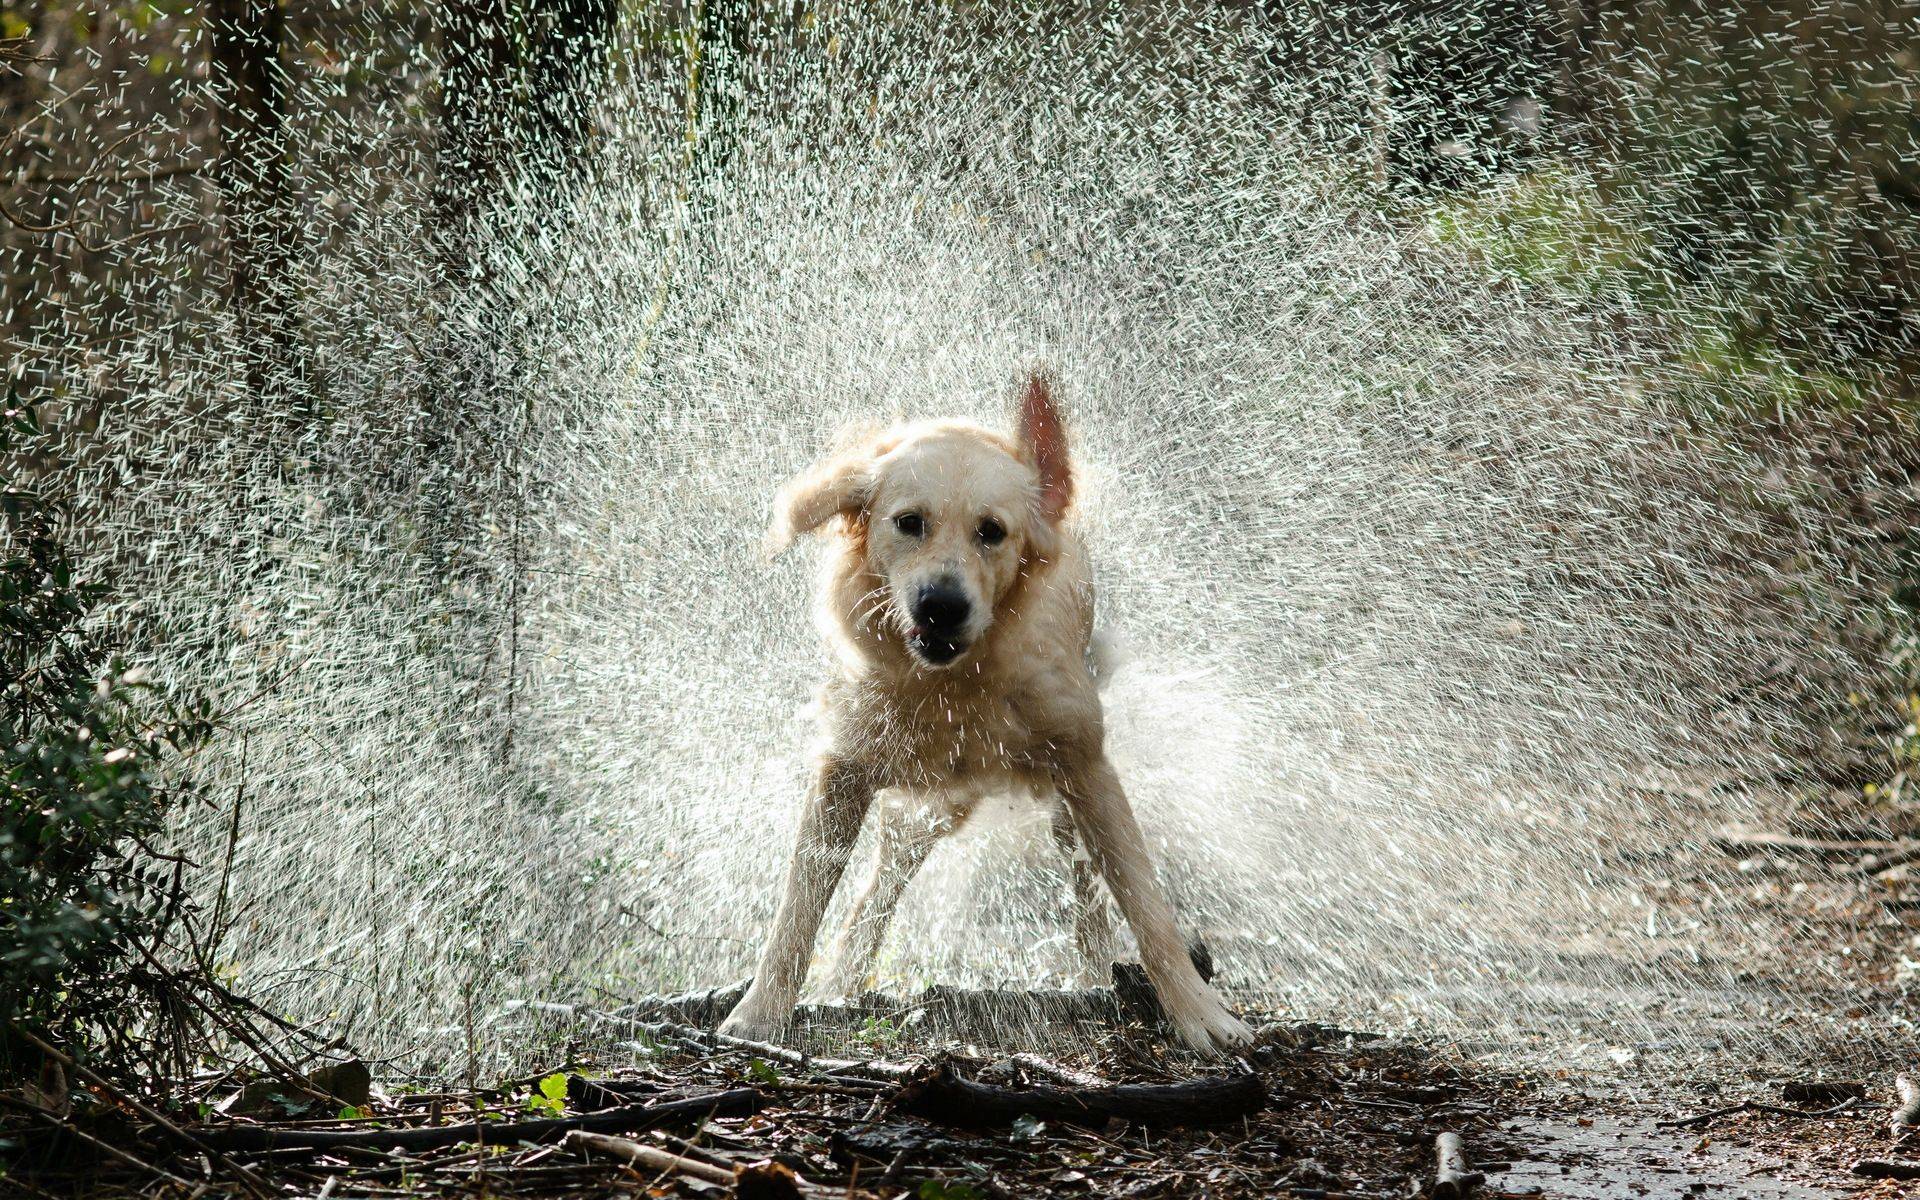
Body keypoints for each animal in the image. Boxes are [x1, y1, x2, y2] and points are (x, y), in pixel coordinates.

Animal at [721, 364, 1259, 1044]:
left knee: (1085, 892)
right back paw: (842, 982)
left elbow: (1146, 905)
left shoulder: (1086, 766)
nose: (940, 606)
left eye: (992, 532)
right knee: (875, 895)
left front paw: (1200, 1015)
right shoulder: (842, 769)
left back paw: (1094, 977)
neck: (955, 684)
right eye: (909, 522)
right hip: (924, 810)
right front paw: (760, 1012)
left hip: (1054, 801)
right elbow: (798, 908)